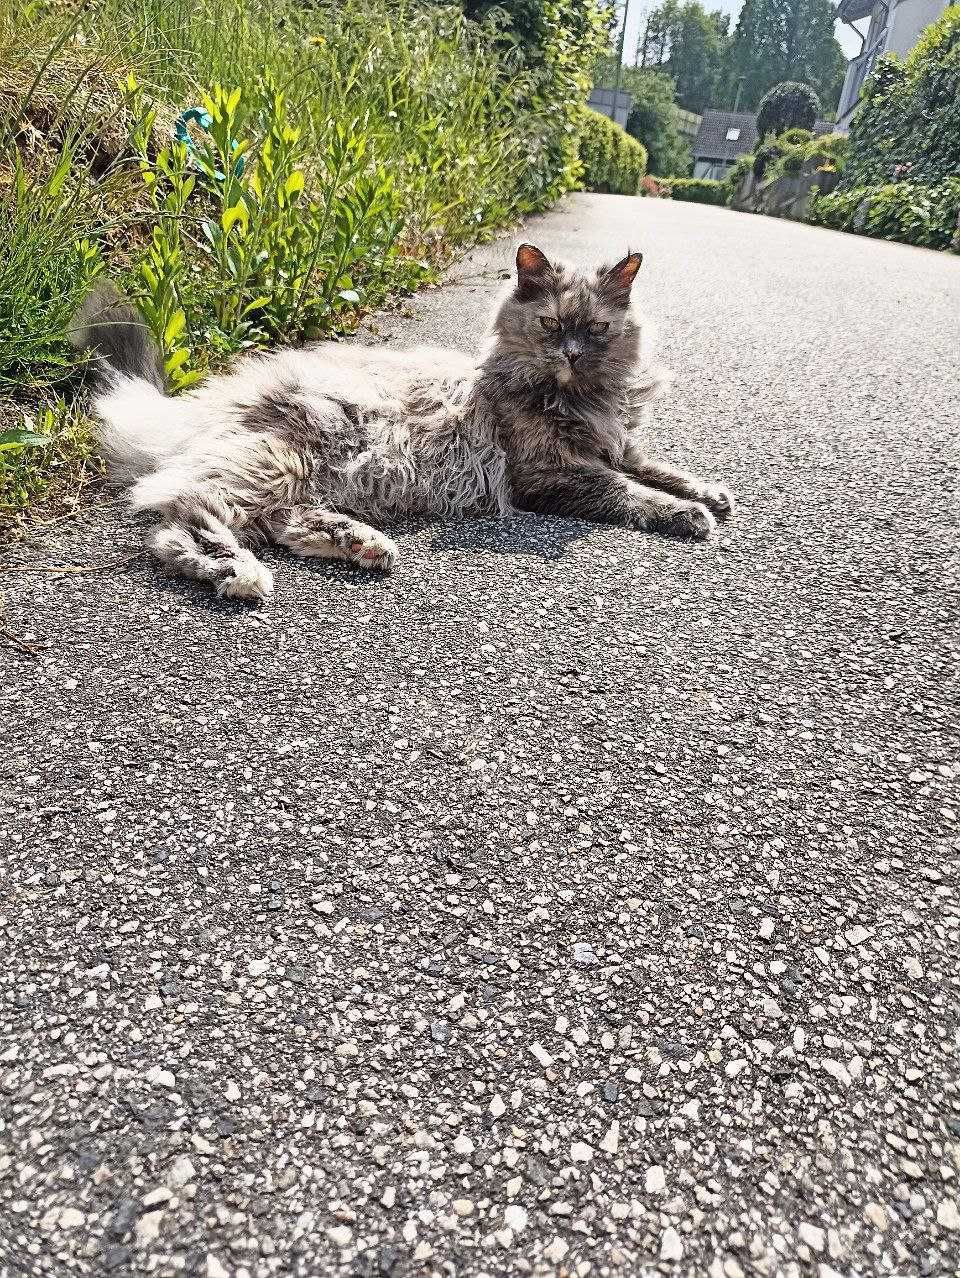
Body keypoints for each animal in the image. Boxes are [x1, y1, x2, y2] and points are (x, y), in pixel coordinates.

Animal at [73, 245, 736, 603]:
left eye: (596, 330)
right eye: (550, 326)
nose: (572, 354)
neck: (583, 400)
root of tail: (205, 401)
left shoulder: (618, 445)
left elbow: (661, 468)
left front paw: (710, 492)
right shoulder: (547, 474)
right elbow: (629, 491)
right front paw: (689, 514)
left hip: (299, 472)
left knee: (275, 520)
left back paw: (363, 544)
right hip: (273, 460)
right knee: (178, 523)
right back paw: (238, 574)